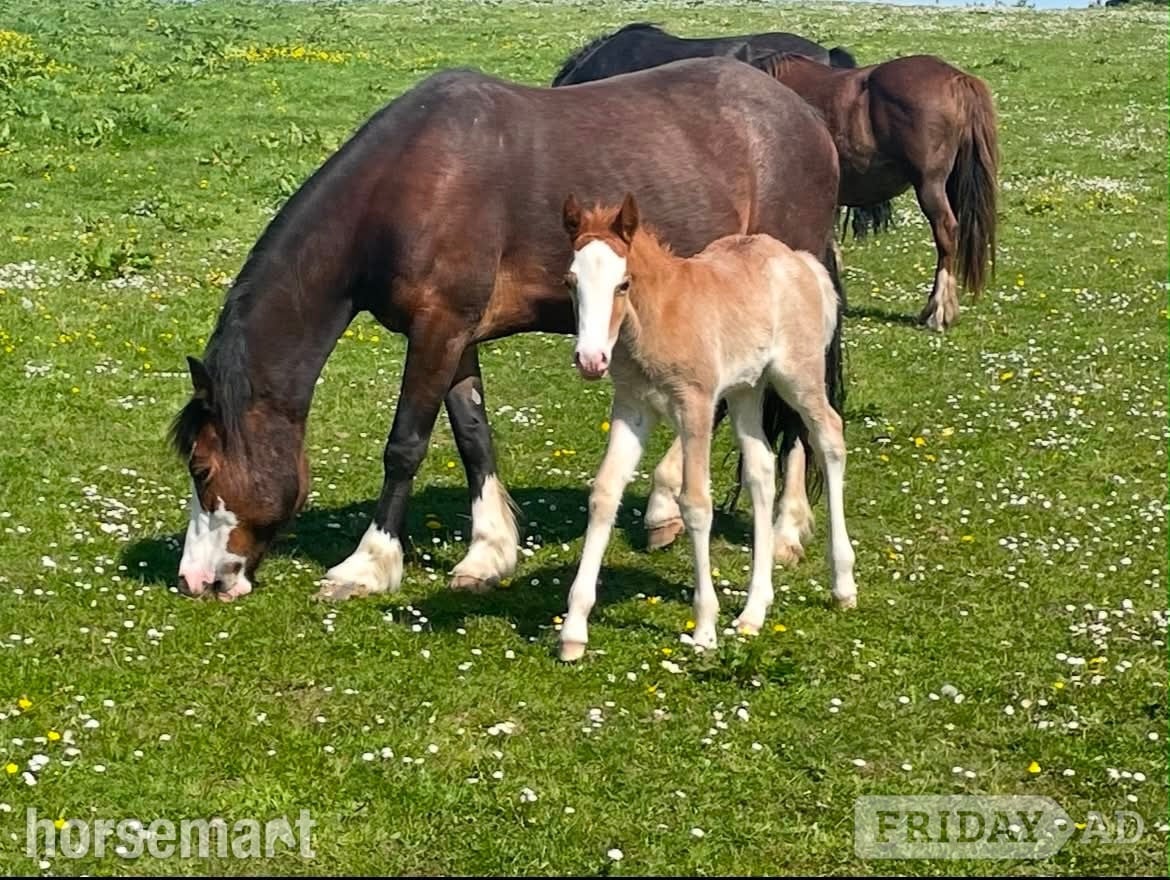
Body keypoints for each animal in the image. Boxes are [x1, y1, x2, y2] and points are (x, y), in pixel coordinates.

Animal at [169, 57, 844, 603]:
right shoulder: (455, 334)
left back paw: (785, 529)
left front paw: (368, 564)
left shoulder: (437, 329)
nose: (194, 579)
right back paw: (664, 506)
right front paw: (488, 553)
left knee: (797, 412)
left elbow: (405, 445)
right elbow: (473, 436)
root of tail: (806, 116)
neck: (408, 185)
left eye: (202, 469)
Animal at [557, 194, 856, 661]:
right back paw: (754, 611)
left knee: (830, 437)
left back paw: (843, 585)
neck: (657, 315)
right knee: (761, 469)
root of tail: (802, 262)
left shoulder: (695, 406)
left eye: (623, 284)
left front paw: (704, 628)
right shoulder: (632, 408)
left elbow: (696, 503)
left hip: (798, 376)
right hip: (747, 389)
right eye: (571, 281)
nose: (591, 360)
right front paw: (573, 631)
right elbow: (605, 493)